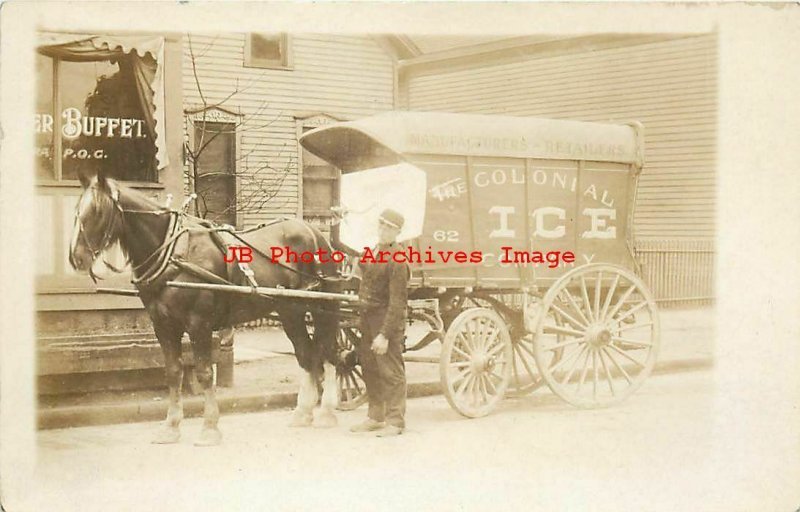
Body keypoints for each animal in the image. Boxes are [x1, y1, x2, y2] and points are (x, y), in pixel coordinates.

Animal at [69, 172, 340, 444]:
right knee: (306, 354)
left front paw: (209, 427)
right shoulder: (163, 326)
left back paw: (327, 412)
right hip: (290, 311)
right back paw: (303, 412)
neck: (174, 253)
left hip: (320, 307)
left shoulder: (199, 324)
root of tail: (315, 232)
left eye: (98, 211)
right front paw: (171, 426)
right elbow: (173, 373)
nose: (76, 258)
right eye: (77, 209)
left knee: (326, 352)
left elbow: (205, 373)